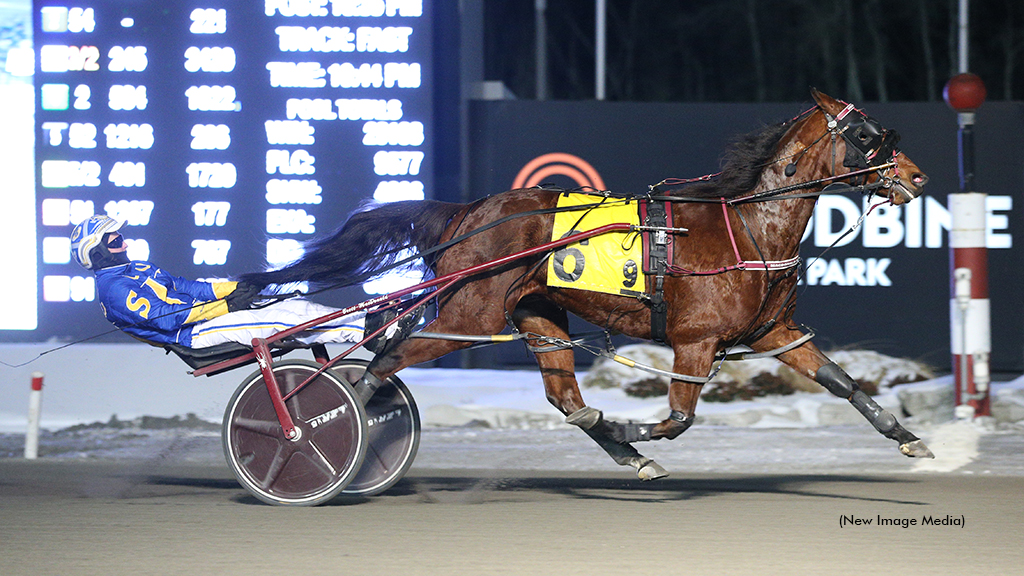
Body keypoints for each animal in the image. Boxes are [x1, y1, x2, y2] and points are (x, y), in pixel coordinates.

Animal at [241, 90, 937, 479]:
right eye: (868, 135)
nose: (917, 175)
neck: (748, 228)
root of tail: (471, 211)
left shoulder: (775, 331)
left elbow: (844, 382)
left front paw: (909, 440)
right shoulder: (695, 341)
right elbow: (678, 419)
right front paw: (634, 431)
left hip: (538, 313)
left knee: (563, 397)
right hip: (469, 315)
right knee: (382, 361)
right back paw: (323, 430)